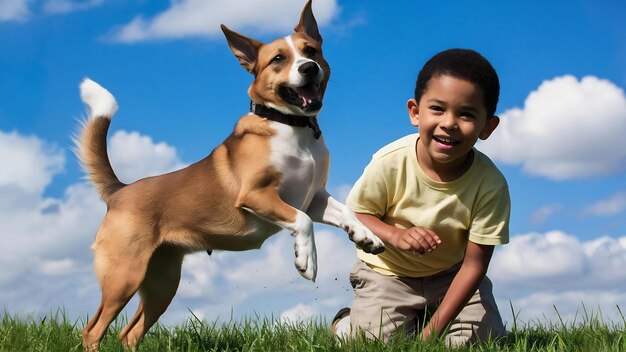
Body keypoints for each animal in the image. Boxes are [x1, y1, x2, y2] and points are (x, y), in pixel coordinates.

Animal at [75, 1, 382, 350]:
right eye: (279, 59)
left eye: (311, 50)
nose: (308, 68)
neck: (292, 127)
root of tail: (119, 191)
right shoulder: (258, 194)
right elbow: (302, 223)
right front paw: (307, 260)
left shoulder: (314, 198)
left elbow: (346, 211)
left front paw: (366, 235)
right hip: (123, 276)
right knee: (93, 329)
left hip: (161, 283)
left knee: (130, 332)